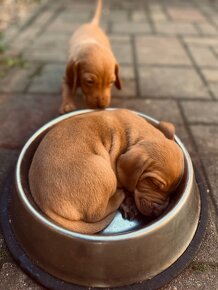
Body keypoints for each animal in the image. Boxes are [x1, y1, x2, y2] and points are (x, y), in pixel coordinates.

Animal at [28, 110, 183, 234]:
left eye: (173, 190)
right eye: (153, 183)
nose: (159, 211)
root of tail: (44, 204)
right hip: (106, 174)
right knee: (97, 213)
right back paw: (120, 196)